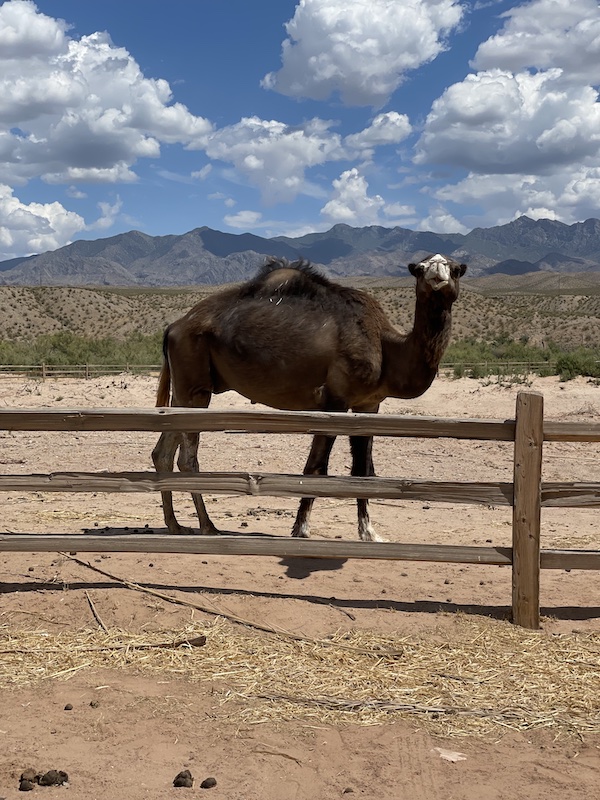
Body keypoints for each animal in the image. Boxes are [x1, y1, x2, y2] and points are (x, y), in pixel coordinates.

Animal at [152, 253, 466, 540]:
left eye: (454, 269)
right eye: (421, 268)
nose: (438, 278)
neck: (386, 346)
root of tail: (173, 328)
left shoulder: (368, 404)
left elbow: (362, 470)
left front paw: (369, 533)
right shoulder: (334, 401)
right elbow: (316, 467)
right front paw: (301, 529)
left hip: (184, 390)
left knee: (162, 453)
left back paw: (175, 525)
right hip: (195, 385)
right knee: (187, 458)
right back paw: (207, 526)